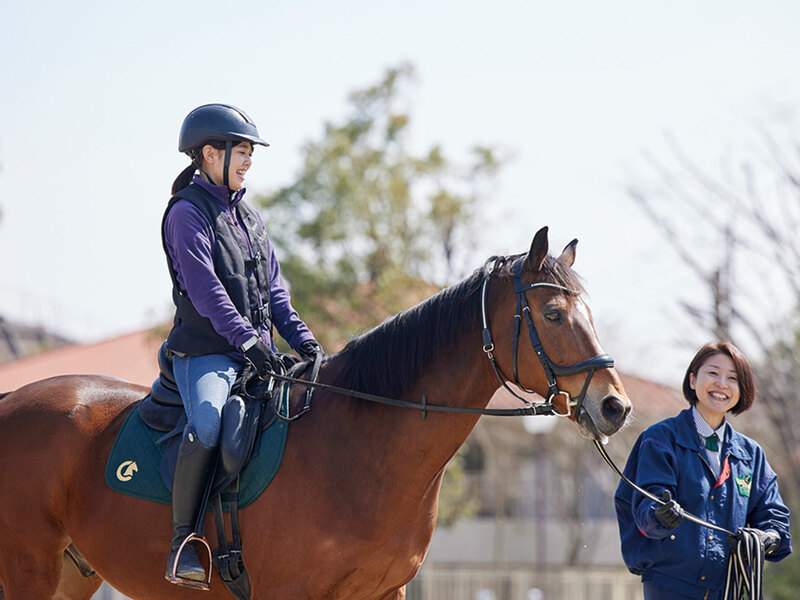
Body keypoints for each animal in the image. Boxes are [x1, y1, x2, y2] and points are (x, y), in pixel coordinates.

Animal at [0, 227, 632, 596]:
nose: (614, 405)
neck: (360, 448)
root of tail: (12, 402)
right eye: (553, 314)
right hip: (28, 572)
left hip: (69, 576)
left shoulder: (384, 592)